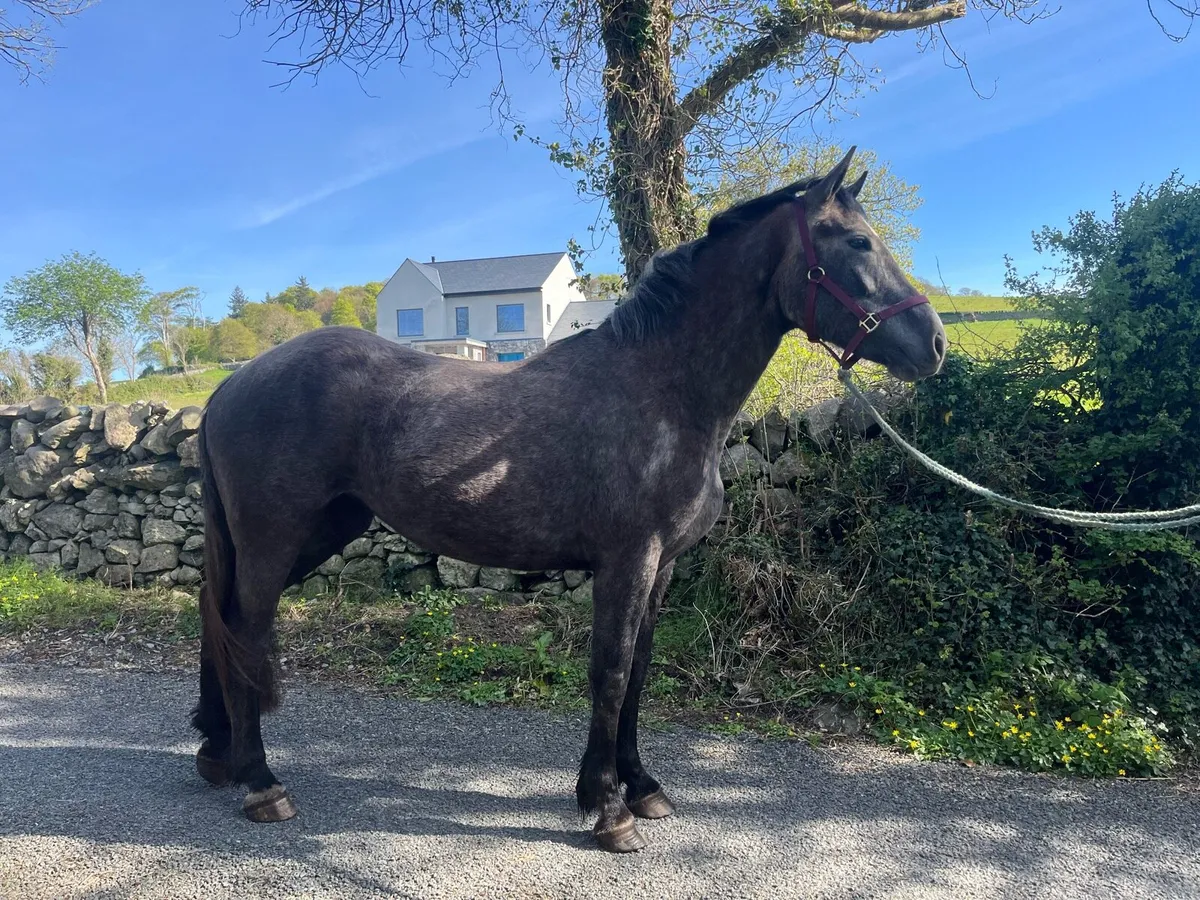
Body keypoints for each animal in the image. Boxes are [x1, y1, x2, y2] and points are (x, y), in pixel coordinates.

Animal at [192, 147, 947, 853]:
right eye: (856, 243)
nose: (935, 345)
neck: (662, 389)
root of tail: (231, 385)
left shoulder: (662, 567)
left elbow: (638, 673)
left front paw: (640, 786)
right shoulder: (627, 561)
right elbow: (609, 674)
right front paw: (608, 808)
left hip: (320, 531)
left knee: (217, 615)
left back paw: (218, 755)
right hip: (273, 538)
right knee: (246, 628)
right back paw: (261, 782)